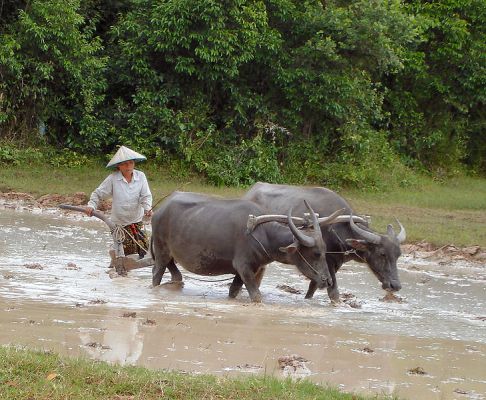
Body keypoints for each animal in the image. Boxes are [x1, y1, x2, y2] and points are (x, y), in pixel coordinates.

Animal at [150, 192, 344, 302]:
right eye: (316, 253)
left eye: (325, 251)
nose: (328, 281)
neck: (262, 234)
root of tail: (158, 212)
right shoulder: (244, 267)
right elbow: (256, 296)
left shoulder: (250, 270)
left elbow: (234, 290)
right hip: (161, 250)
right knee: (157, 273)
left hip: (169, 254)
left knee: (175, 274)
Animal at [243, 183, 406, 302]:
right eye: (382, 253)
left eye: (398, 255)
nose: (396, 285)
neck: (337, 228)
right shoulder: (327, 263)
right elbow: (334, 293)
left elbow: (313, 288)